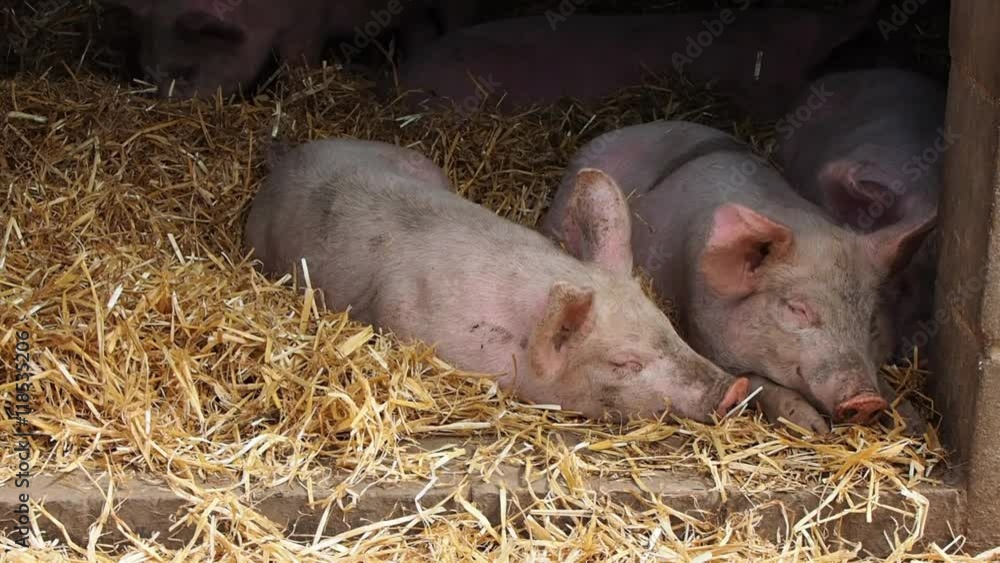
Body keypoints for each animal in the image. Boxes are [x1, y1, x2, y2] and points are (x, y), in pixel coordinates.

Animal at [544, 121, 932, 434]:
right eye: (797, 309)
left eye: (870, 321)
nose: (865, 400)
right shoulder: (704, 335)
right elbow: (759, 384)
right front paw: (813, 428)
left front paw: (914, 424)